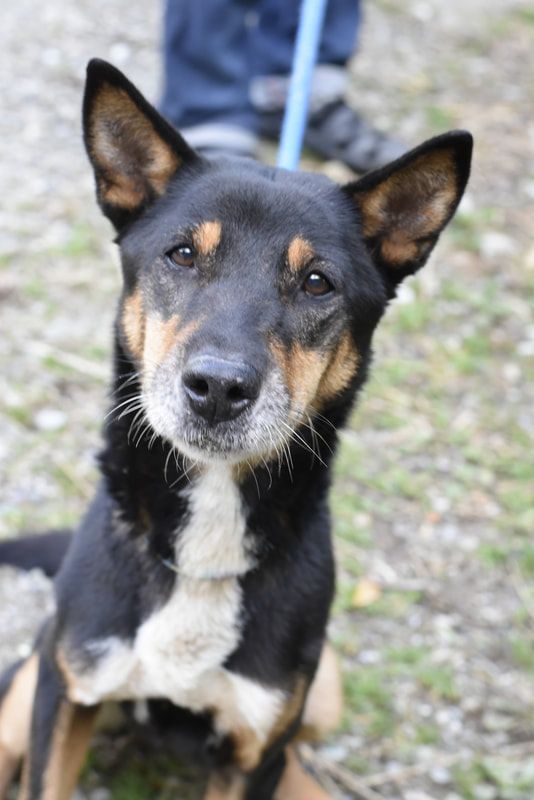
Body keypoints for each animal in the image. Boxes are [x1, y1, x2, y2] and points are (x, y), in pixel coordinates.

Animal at [0, 61, 474, 800]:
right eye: (181, 254)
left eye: (317, 282)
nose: (218, 388)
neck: (202, 546)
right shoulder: (66, 689)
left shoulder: (255, 750)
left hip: (321, 694)